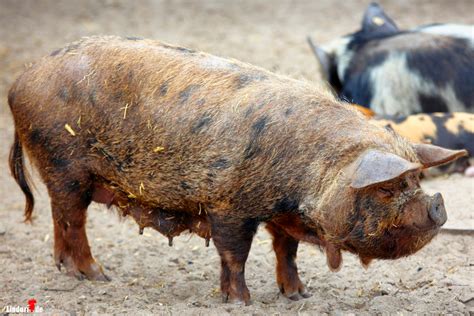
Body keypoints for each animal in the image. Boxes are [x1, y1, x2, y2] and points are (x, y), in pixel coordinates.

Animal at [7, 35, 466, 304]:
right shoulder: (229, 205)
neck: (308, 175)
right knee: (73, 220)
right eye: (389, 188)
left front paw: (298, 296)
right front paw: (241, 302)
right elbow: (235, 254)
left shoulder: (281, 214)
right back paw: (97, 276)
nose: (439, 204)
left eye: (417, 178)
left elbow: (286, 251)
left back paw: (70, 271)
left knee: (60, 218)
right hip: (64, 163)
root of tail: (19, 82)